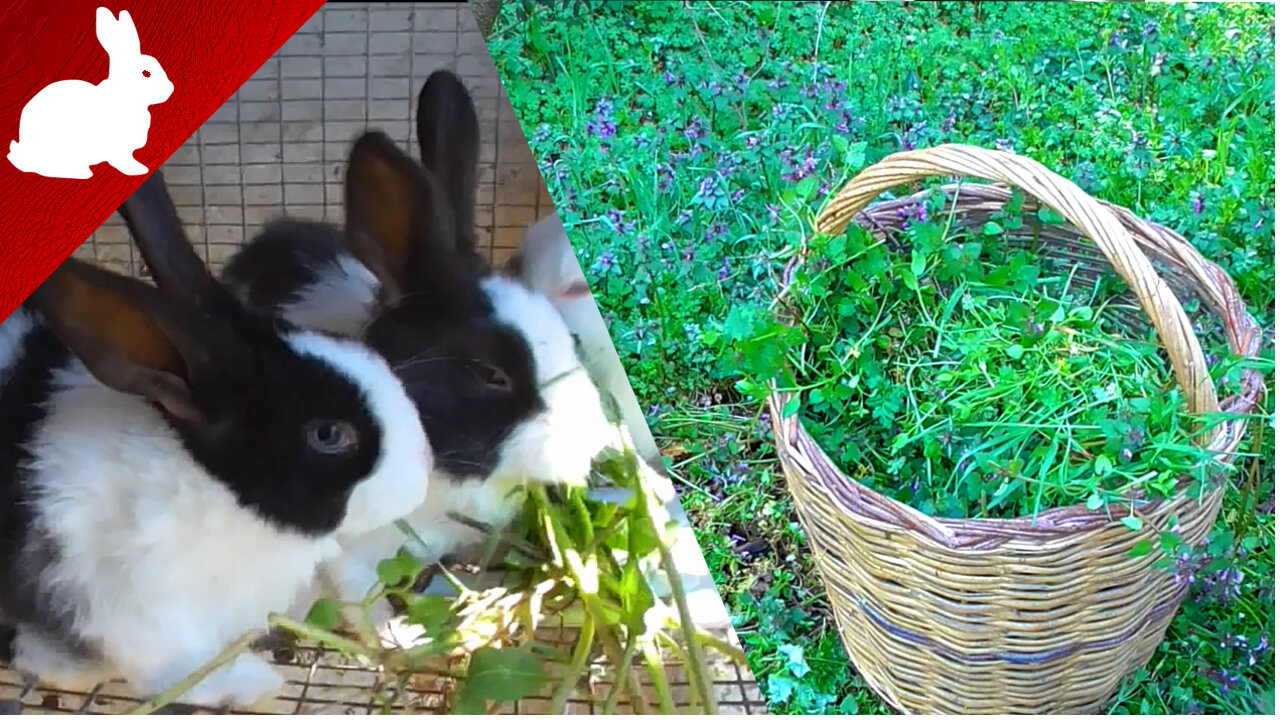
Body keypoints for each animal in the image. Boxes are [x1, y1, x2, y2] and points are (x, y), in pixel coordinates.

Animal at [0, 172, 430, 702]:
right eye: (329, 434)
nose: (424, 470)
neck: (210, 487)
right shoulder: (140, 614)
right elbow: (188, 672)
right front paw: (258, 686)